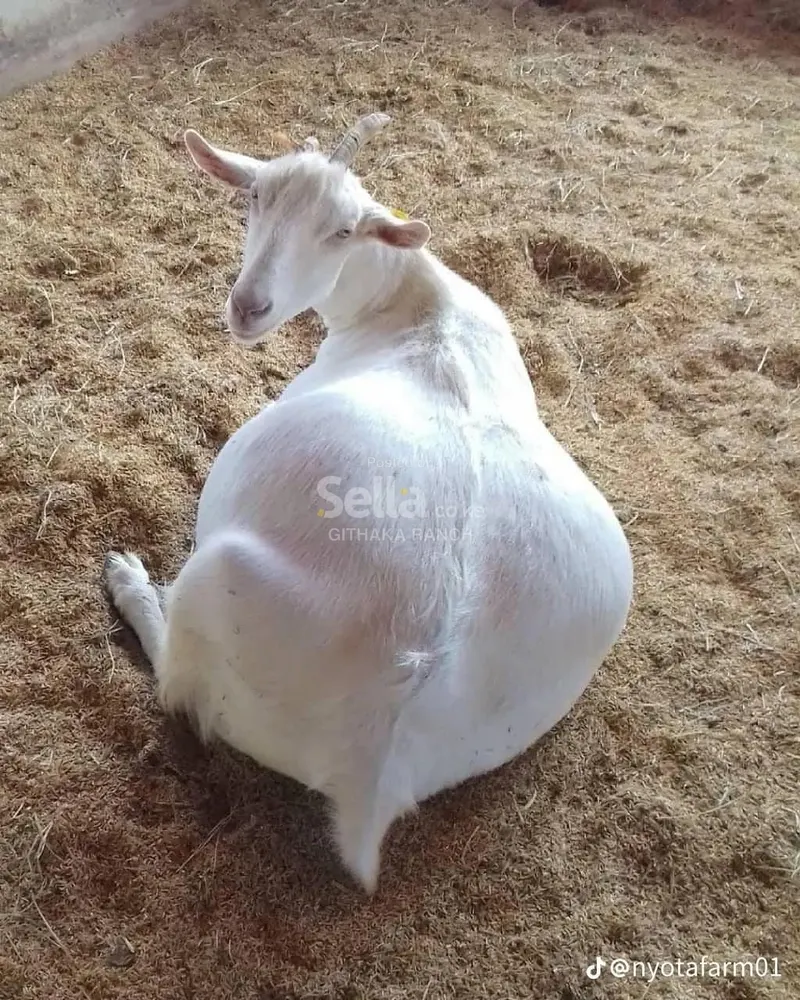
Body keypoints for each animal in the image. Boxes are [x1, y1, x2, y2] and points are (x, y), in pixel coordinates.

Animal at [104, 112, 634, 893]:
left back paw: (131, 583)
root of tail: (373, 773)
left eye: (342, 231)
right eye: (255, 197)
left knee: (176, 685)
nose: (249, 305)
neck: (421, 312)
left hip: (217, 582)